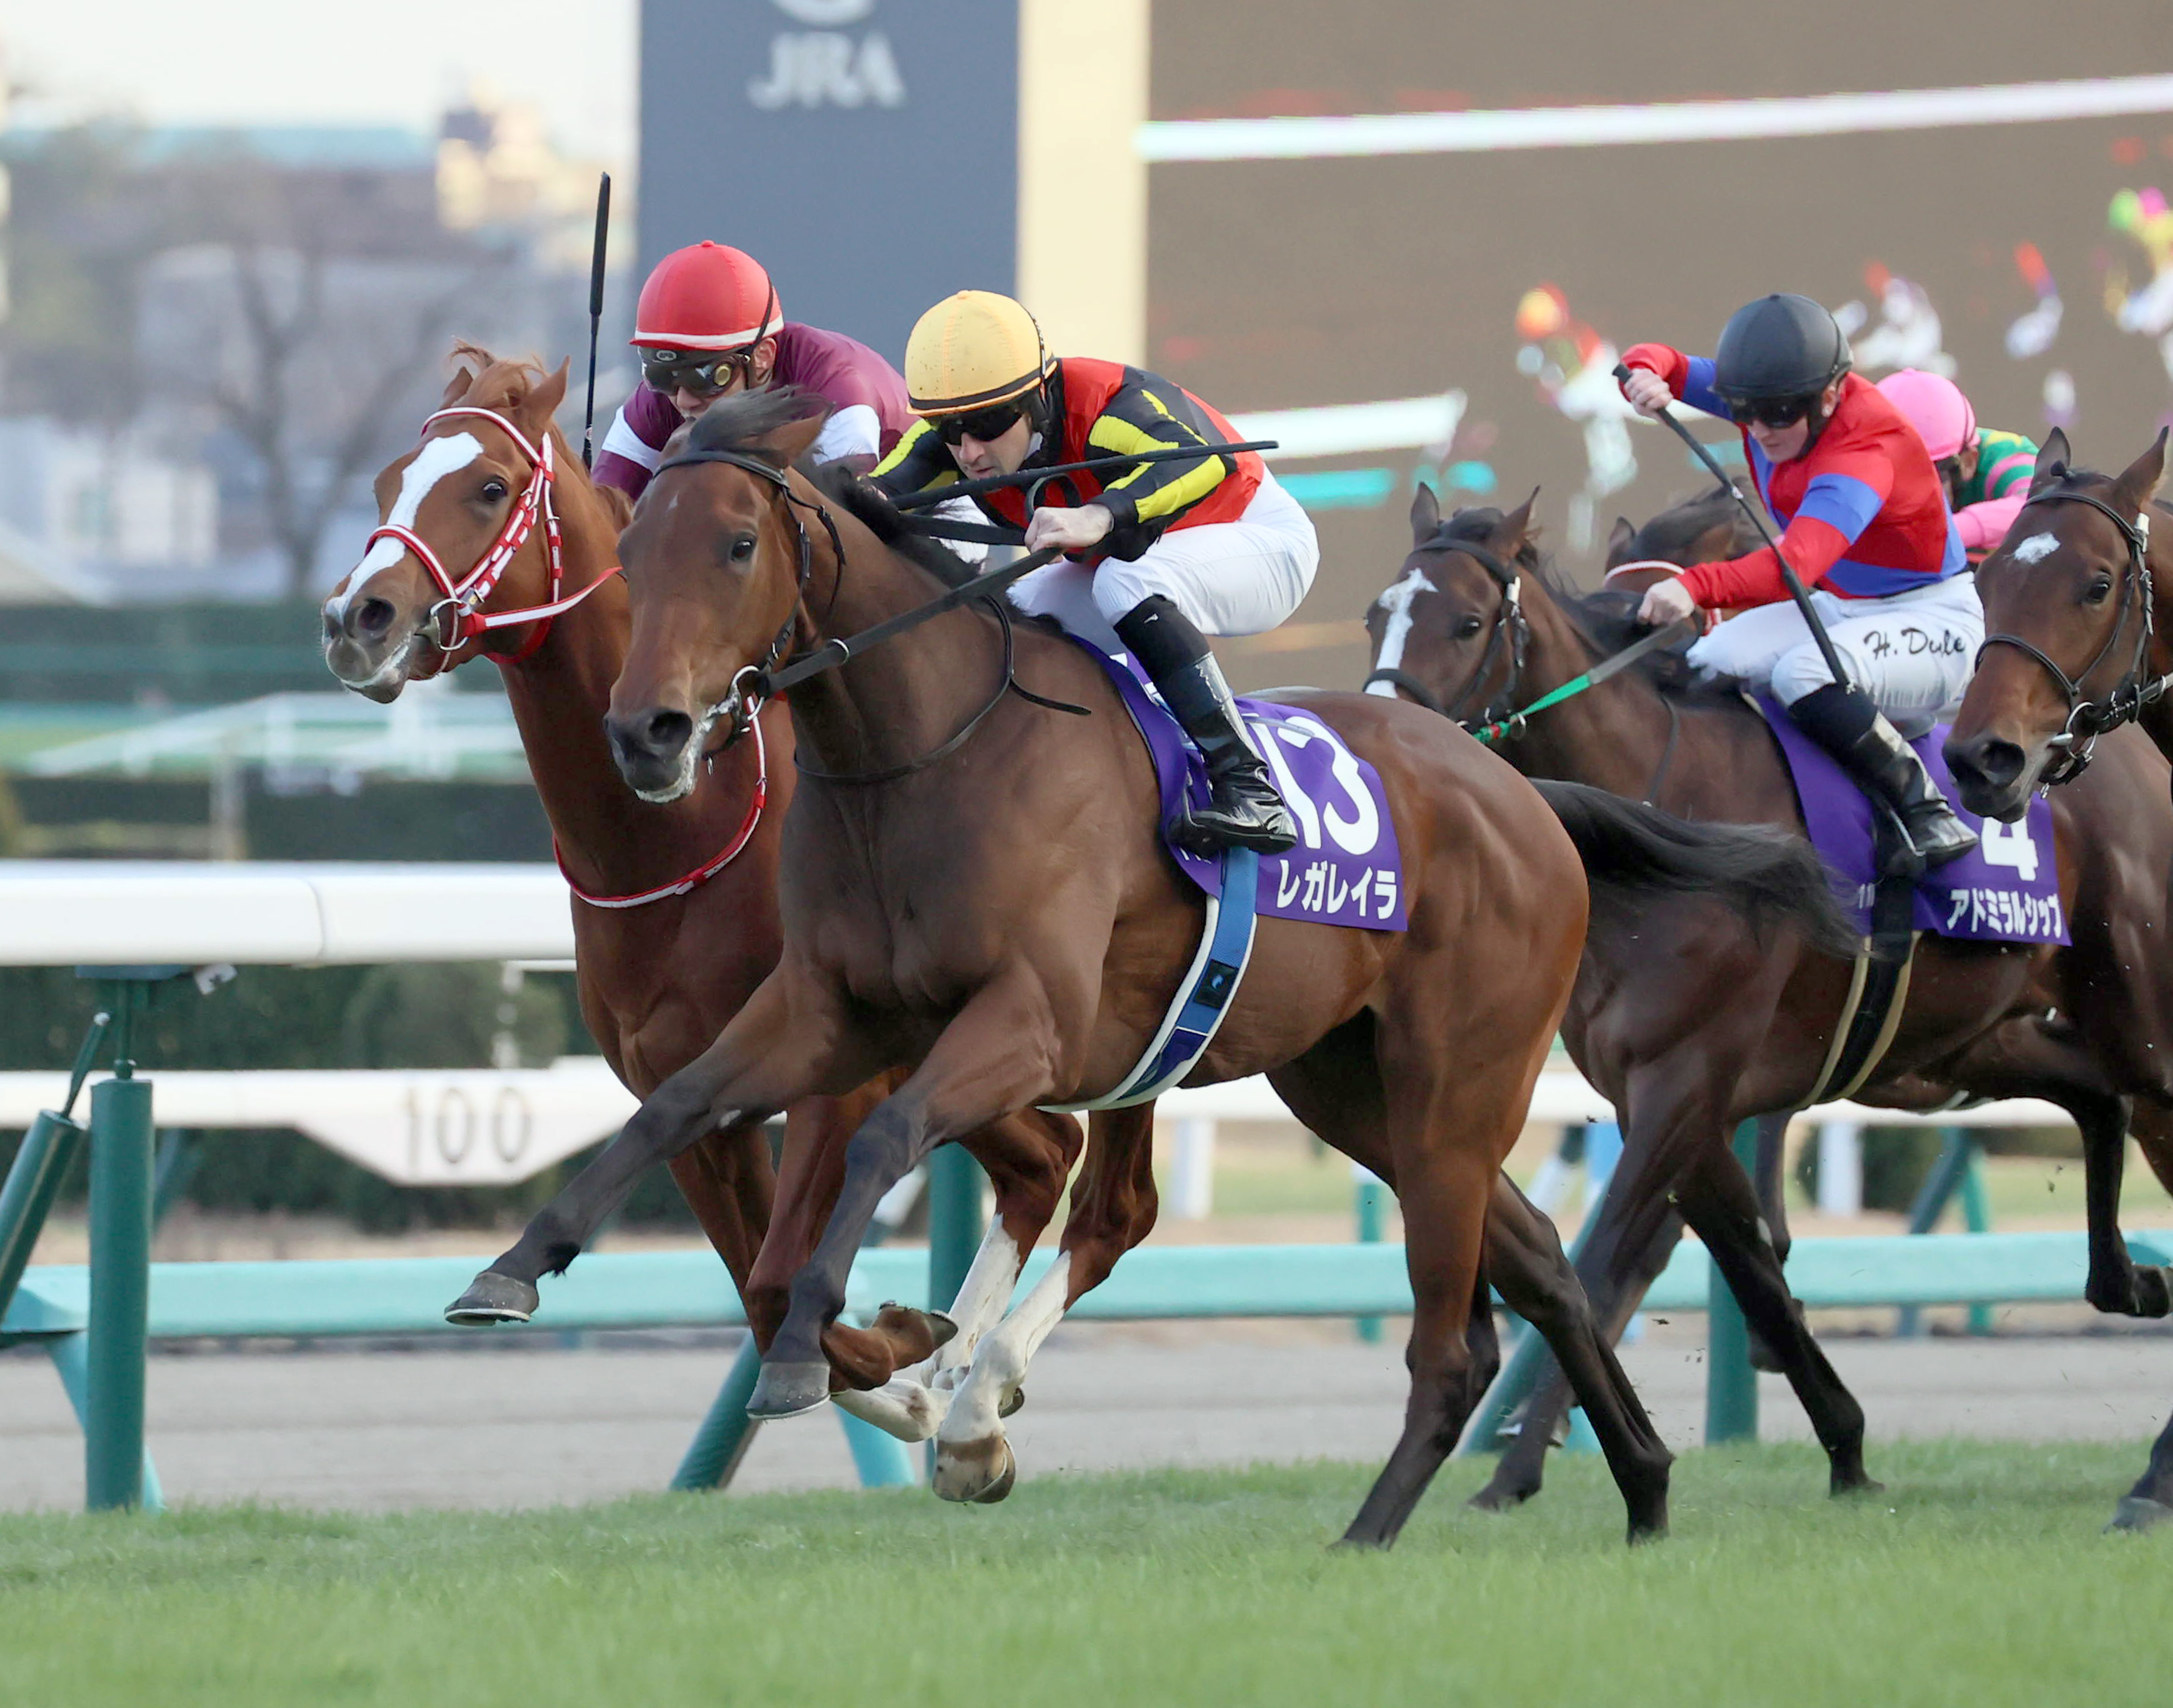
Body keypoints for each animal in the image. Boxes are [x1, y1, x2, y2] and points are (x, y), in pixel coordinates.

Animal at [320, 348, 1081, 1416]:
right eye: (389, 483)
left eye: (491, 487)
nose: (359, 619)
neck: (675, 837)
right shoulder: (685, 1095)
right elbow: (756, 1287)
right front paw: (896, 1352)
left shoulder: (839, 1068)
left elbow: (777, 1279)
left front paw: (893, 1347)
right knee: (1049, 1160)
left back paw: (974, 1374)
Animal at [444, 389, 1852, 1546]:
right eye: (632, 553)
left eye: (737, 544)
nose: (649, 730)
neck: (920, 751)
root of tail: (1523, 793)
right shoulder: (823, 1005)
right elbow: (675, 1106)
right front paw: (508, 1270)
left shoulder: (1026, 1021)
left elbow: (889, 1136)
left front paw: (817, 1354)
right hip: (1359, 1090)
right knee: (1546, 1260)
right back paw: (1645, 1488)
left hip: (1459, 1080)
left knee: (1449, 1326)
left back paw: (1372, 1528)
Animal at [1362, 482, 2173, 1526]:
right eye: (1379, 614)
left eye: (1467, 622)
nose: (1391, 743)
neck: (1664, 814)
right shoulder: (1683, 1099)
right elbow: (1751, 1271)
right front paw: (1847, 1449)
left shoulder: (1682, 1084)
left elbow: (1605, 1265)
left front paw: (1528, 1465)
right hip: (1971, 1040)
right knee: (2097, 1096)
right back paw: (2127, 1282)